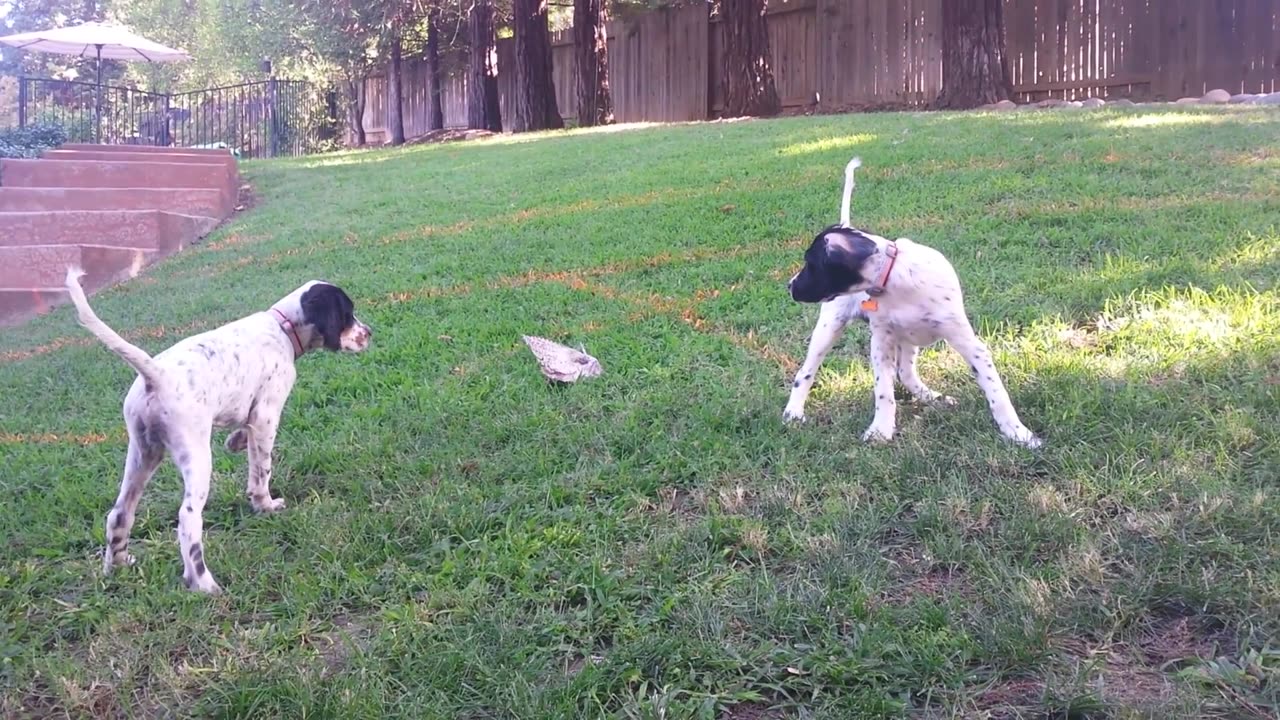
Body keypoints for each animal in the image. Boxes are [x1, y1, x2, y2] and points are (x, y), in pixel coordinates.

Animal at [64, 266, 373, 591]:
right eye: (348, 313)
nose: (369, 333)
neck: (282, 329)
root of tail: (155, 375)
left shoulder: (251, 414)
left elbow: (245, 440)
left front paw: (236, 442)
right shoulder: (266, 415)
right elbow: (262, 469)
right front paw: (265, 505)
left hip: (142, 454)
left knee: (119, 514)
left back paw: (118, 566)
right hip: (196, 458)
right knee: (187, 520)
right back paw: (203, 584)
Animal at [778, 157, 1039, 448]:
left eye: (810, 264)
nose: (790, 285)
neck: (895, 279)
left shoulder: (968, 343)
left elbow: (996, 392)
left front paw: (1018, 433)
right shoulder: (881, 342)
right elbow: (883, 392)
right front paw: (881, 430)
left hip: (909, 339)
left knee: (906, 373)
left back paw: (933, 398)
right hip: (830, 327)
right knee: (805, 373)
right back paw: (793, 413)